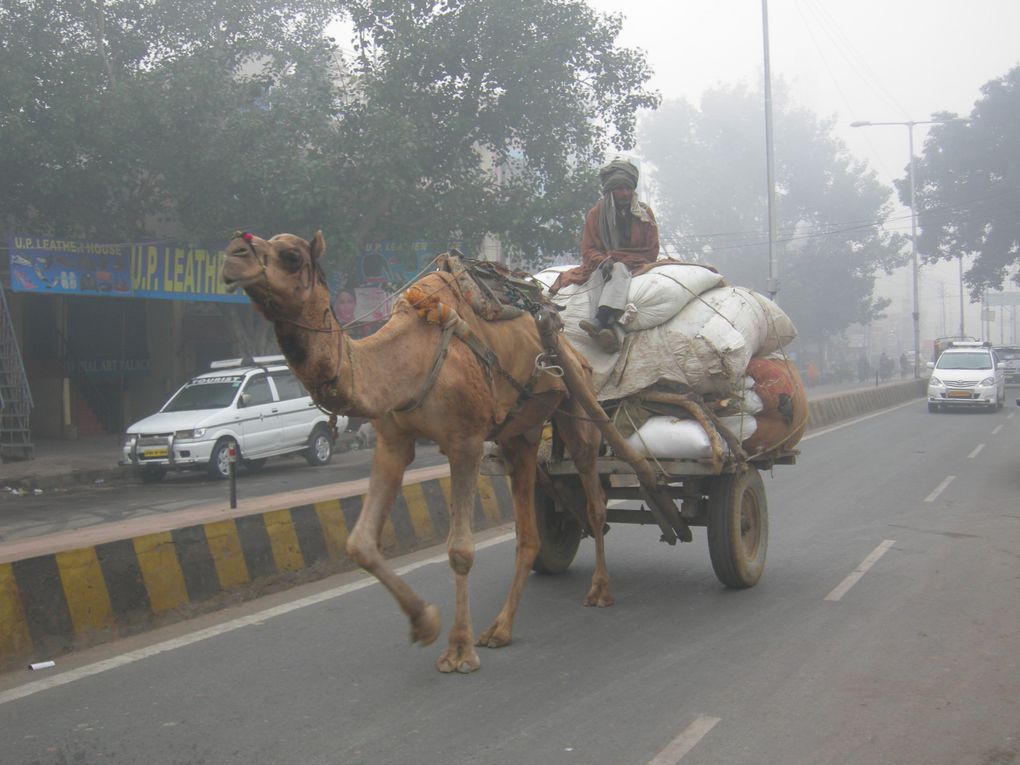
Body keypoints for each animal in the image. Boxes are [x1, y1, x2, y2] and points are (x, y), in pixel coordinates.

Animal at [223, 230, 607, 673]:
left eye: (290, 256)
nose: (232, 257)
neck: (411, 359)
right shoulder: (393, 441)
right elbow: (360, 543)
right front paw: (424, 622)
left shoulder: (465, 442)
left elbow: (460, 549)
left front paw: (459, 650)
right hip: (520, 435)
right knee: (528, 533)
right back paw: (500, 629)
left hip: (576, 403)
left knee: (595, 497)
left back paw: (599, 590)